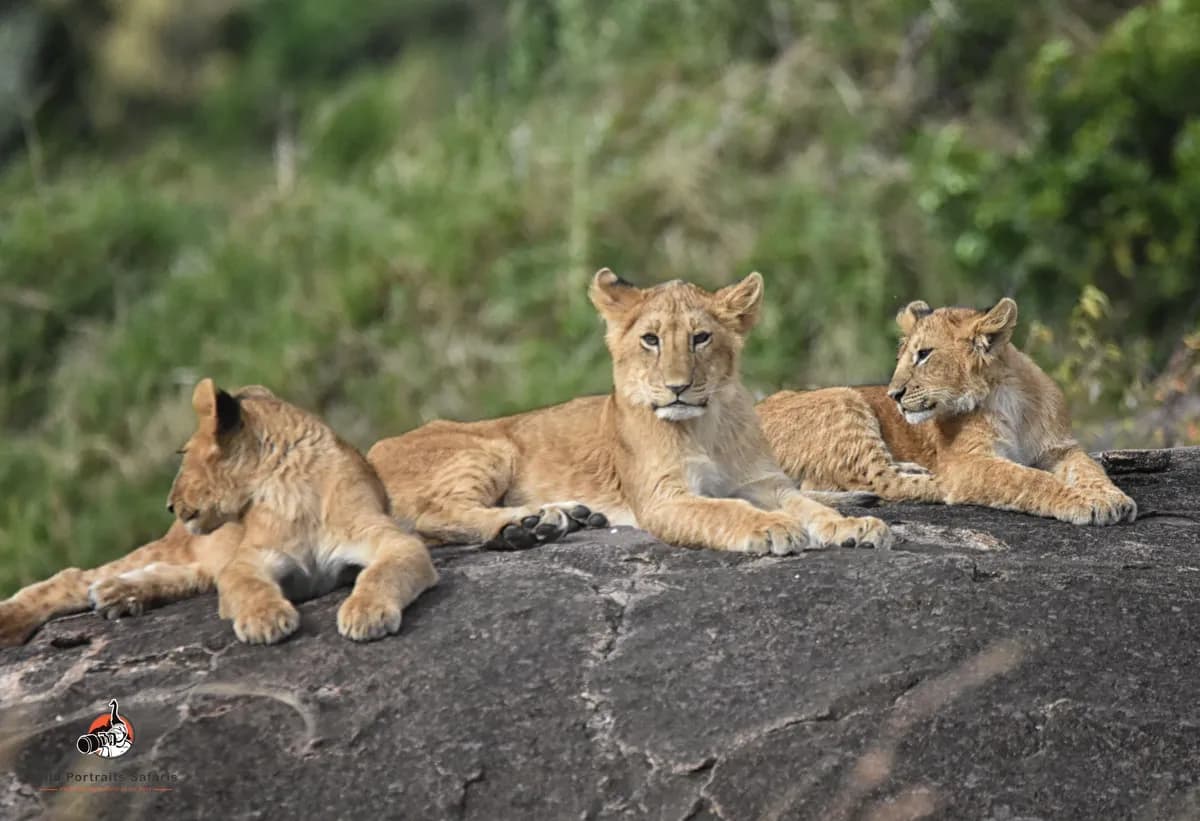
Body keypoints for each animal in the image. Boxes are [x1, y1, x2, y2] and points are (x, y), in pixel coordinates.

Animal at [0, 380, 437, 646]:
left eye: (182, 453)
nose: (169, 505)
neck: (288, 489)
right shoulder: (248, 559)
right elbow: (248, 586)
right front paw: (266, 619)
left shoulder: (394, 539)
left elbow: (383, 571)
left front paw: (366, 612)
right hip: (173, 549)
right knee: (73, 578)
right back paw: (12, 621)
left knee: (178, 576)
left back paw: (121, 595)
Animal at [367, 269, 894, 555]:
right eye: (651, 339)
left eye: (701, 338)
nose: (678, 388)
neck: (706, 425)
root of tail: (371, 453)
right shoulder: (663, 498)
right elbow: (723, 508)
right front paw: (769, 527)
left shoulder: (765, 482)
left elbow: (809, 504)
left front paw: (853, 527)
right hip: (490, 447)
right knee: (433, 515)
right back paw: (522, 528)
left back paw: (555, 519)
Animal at [757, 298, 1137, 525]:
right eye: (903, 356)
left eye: (924, 354)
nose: (893, 395)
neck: (1006, 396)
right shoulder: (969, 459)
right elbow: (1029, 478)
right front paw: (1084, 502)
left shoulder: (1059, 448)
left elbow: (1090, 469)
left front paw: (1112, 498)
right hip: (843, 398)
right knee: (879, 481)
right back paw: (938, 483)